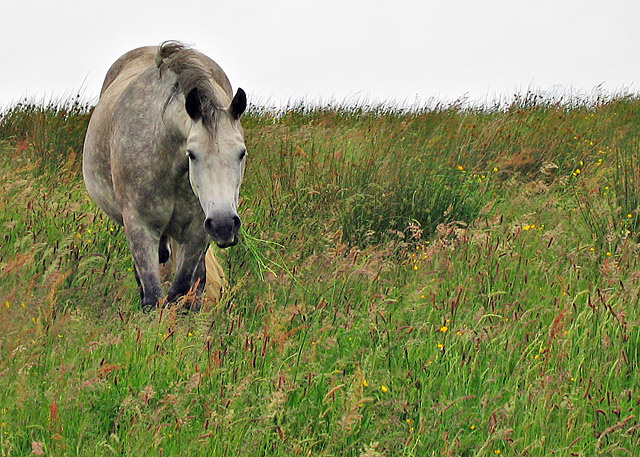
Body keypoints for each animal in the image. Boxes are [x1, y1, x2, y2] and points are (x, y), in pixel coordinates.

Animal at [83, 41, 248, 310]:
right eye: (191, 154)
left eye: (241, 153)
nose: (224, 225)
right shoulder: (140, 227)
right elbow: (152, 297)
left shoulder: (197, 231)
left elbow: (181, 291)